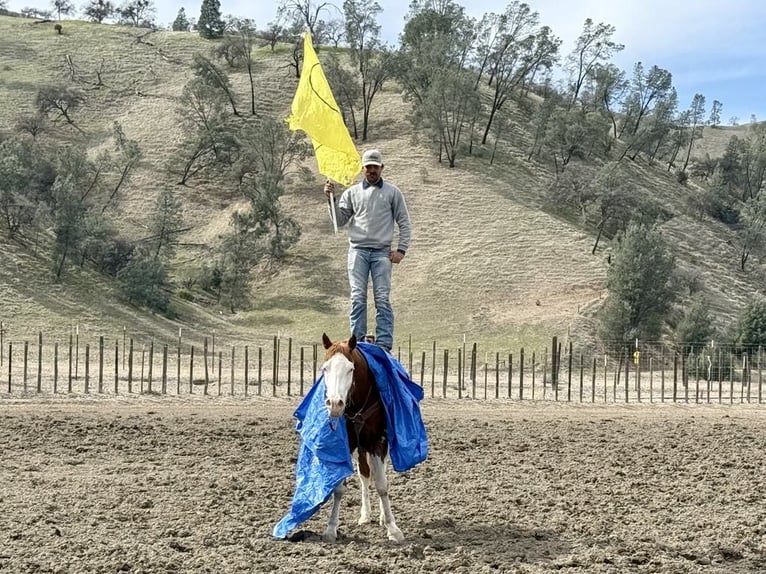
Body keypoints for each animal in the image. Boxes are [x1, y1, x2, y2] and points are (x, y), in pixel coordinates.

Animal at [320, 332, 404, 544]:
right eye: (325, 368)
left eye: (350, 369)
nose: (335, 404)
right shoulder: (347, 445)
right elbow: (339, 488)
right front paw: (331, 529)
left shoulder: (377, 442)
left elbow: (382, 485)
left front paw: (393, 529)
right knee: (365, 476)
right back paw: (365, 515)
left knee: (378, 474)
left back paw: (382, 516)